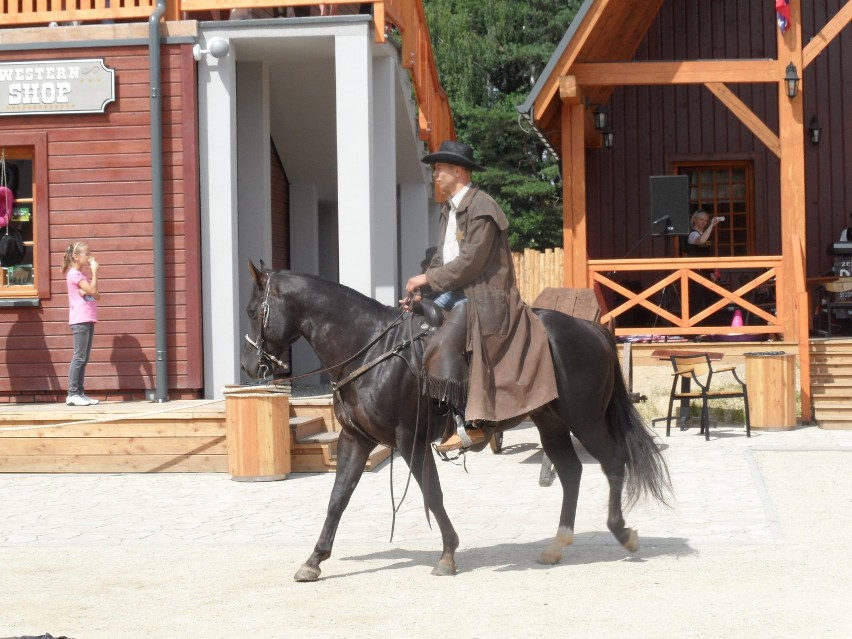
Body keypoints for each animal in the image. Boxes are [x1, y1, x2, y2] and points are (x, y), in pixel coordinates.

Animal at [241, 262, 672, 584]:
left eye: (250, 310)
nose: (248, 367)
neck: (371, 349)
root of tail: (592, 330)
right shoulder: (355, 439)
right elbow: (337, 499)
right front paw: (314, 560)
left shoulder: (409, 440)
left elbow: (432, 495)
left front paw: (448, 554)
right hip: (550, 422)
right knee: (571, 472)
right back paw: (556, 545)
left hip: (585, 420)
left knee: (613, 462)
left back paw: (622, 533)